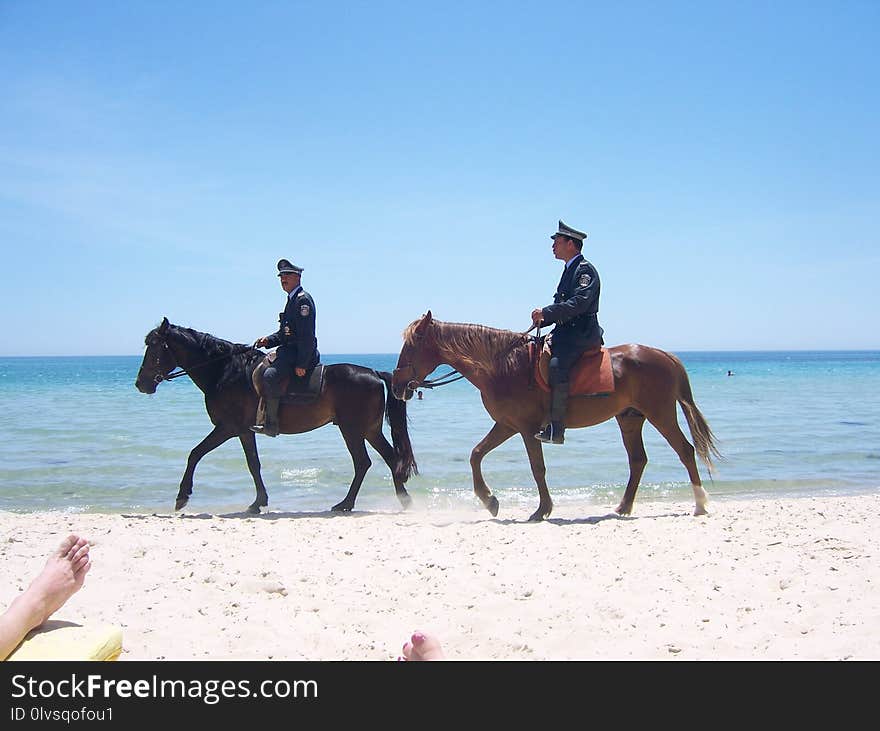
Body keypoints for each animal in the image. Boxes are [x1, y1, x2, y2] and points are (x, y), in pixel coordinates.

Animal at [135, 318, 420, 516]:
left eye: (155, 348)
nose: (141, 384)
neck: (225, 371)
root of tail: (373, 373)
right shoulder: (242, 431)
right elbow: (252, 464)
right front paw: (258, 502)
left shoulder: (229, 428)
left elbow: (197, 454)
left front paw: (182, 497)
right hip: (368, 430)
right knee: (389, 458)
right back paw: (402, 499)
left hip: (352, 430)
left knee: (363, 463)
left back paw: (346, 503)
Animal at [394, 312, 720, 524]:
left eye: (411, 345)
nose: (397, 386)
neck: (503, 365)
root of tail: (664, 355)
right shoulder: (506, 425)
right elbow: (476, 454)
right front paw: (490, 501)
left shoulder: (526, 429)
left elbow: (537, 468)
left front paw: (542, 510)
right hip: (630, 419)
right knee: (638, 460)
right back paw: (623, 507)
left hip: (660, 414)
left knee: (685, 451)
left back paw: (700, 504)